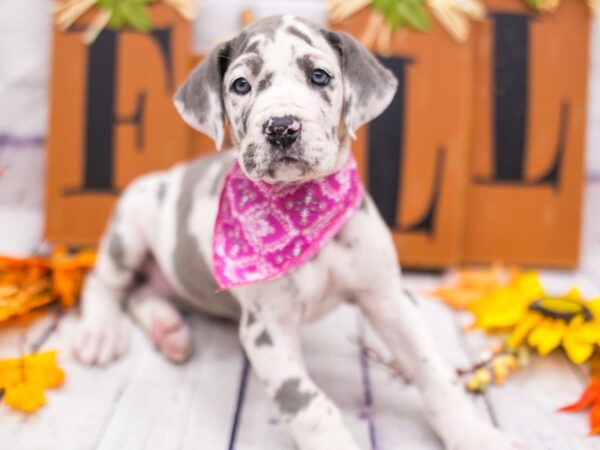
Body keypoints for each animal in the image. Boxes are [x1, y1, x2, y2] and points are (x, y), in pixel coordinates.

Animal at [72, 14, 528, 450]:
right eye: (241, 84)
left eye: (320, 76)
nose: (281, 127)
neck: (303, 208)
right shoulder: (267, 329)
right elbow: (308, 404)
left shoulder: (390, 299)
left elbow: (436, 376)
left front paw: (475, 435)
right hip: (129, 228)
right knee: (104, 283)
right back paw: (101, 332)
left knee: (142, 292)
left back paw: (168, 329)